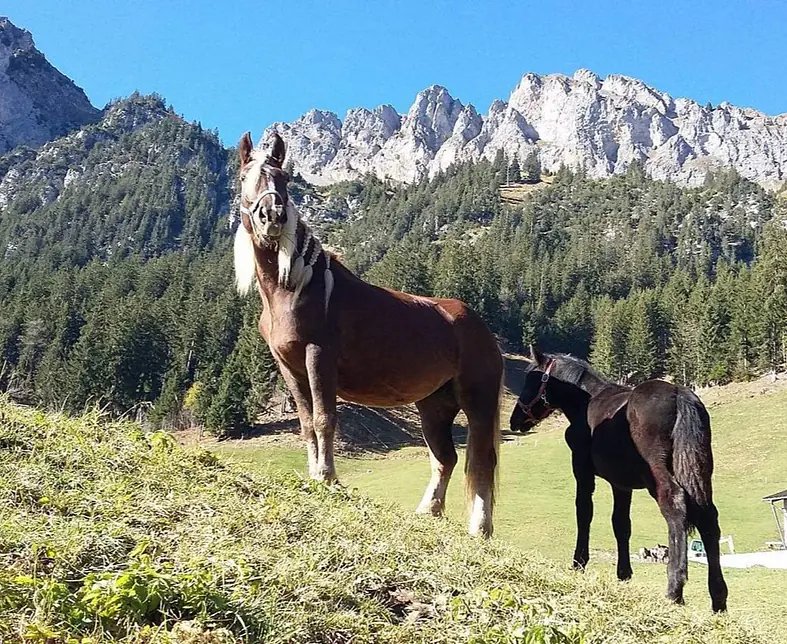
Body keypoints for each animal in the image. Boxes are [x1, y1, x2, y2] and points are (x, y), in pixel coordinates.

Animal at [235, 133, 504, 536]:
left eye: (283, 178)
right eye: (244, 177)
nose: (272, 217)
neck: (295, 289)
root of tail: (481, 327)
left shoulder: (319, 357)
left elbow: (324, 419)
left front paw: (327, 477)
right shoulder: (289, 367)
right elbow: (306, 424)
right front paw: (313, 475)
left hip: (479, 401)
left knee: (482, 460)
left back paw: (479, 528)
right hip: (434, 405)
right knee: (445, 457)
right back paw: (428, 511)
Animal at [510, 350, 728, 612]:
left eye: (531, 381)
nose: (515, 420)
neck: (587, 403)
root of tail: (679, 395)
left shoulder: (582, 471)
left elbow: (584, 513)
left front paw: (579, 563)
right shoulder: (621, 485)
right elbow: (621, 524)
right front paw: (624, 574)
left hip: (659, 476)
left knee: (675, 507)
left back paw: (674, 589)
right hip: (699, 472)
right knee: (709, 519)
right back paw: (718, 597)